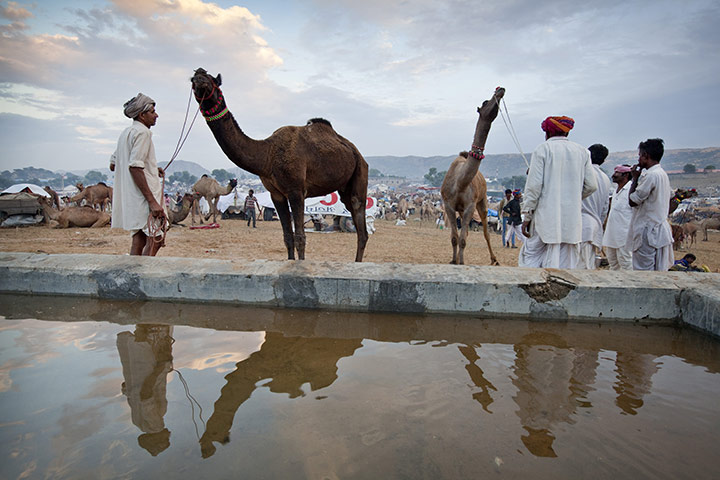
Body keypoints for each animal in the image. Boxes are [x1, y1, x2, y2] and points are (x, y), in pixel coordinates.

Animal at [191, 68, 369, 261]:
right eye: (193, 79)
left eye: (210, 80)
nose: (198, 80)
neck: (268, 155)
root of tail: (355, 151)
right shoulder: (276, 193)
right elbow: (287, 237)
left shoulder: (296, 191)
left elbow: (300, 237)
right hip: (345, 186)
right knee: (357, 221)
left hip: (360, 171)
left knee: (360, 222)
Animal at [440, 87, 505, 265]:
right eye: (485, 102)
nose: (500, 89)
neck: (460, 182)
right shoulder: (448, 205)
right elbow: (454, 238)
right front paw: (453, 260)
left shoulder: (470, 205)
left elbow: (462, 239)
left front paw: (461, 262)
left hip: (482, 201)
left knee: (485, 232)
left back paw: (494, 259)